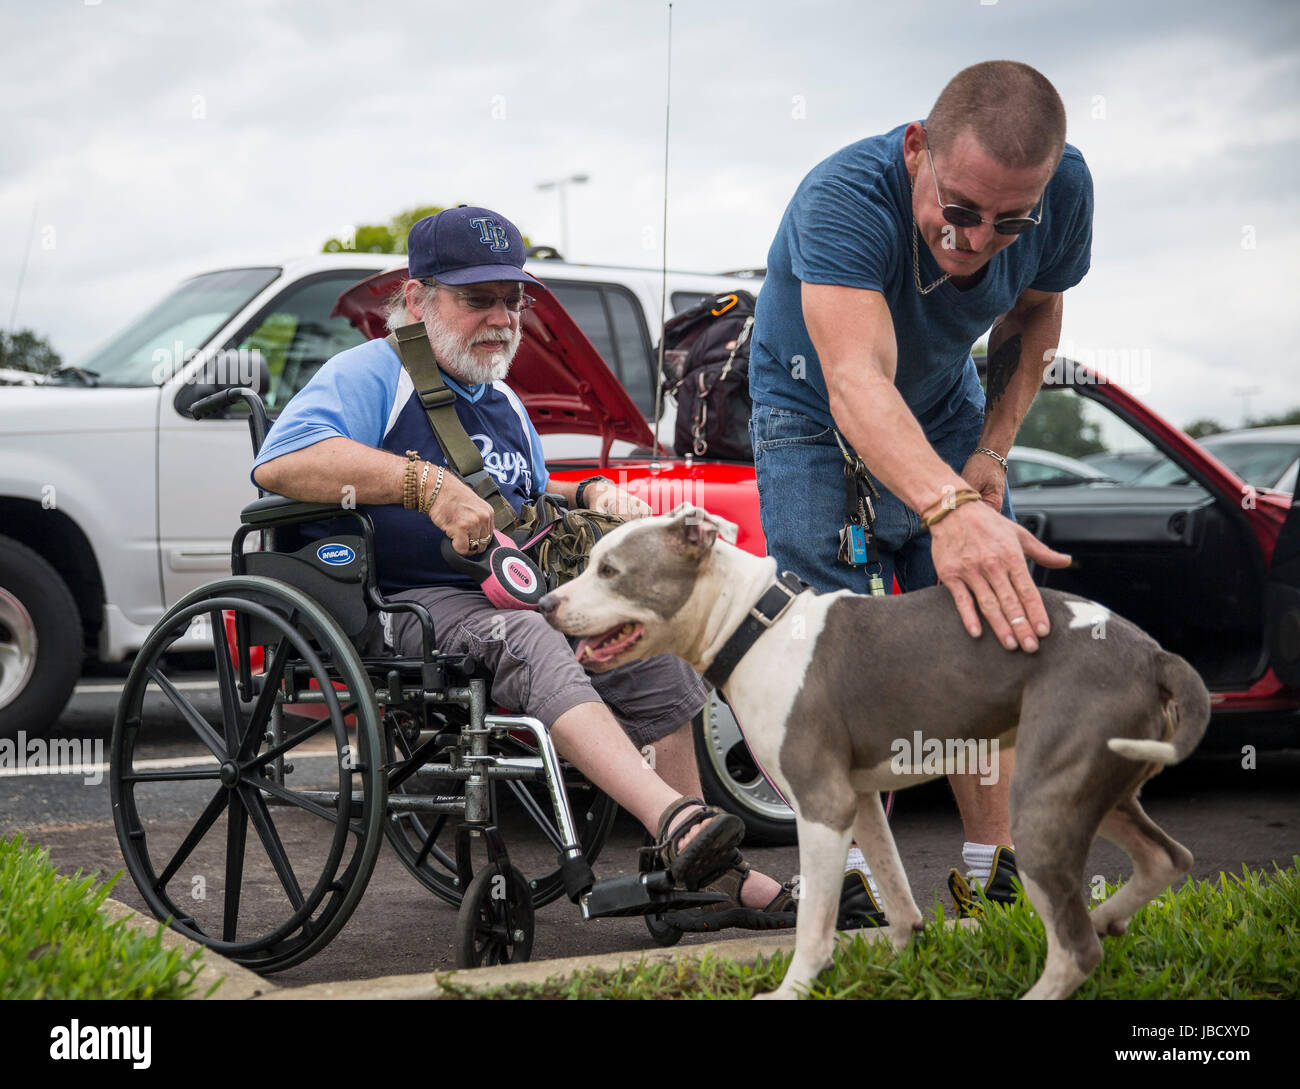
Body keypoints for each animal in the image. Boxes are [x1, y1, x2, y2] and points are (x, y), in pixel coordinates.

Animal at [538, 506, 1206, 1003]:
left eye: (610, 569)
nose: (545, 605)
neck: (756, 627)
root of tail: (1153, 654)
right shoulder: (859, 798)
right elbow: (895, 888)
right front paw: (903, 961)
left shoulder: (821, 804)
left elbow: (814, 921)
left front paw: (792, 990)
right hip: (1097, 783)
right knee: (1166, 859)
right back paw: (1111, 916)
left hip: (1044, 798)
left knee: (1077, 946)